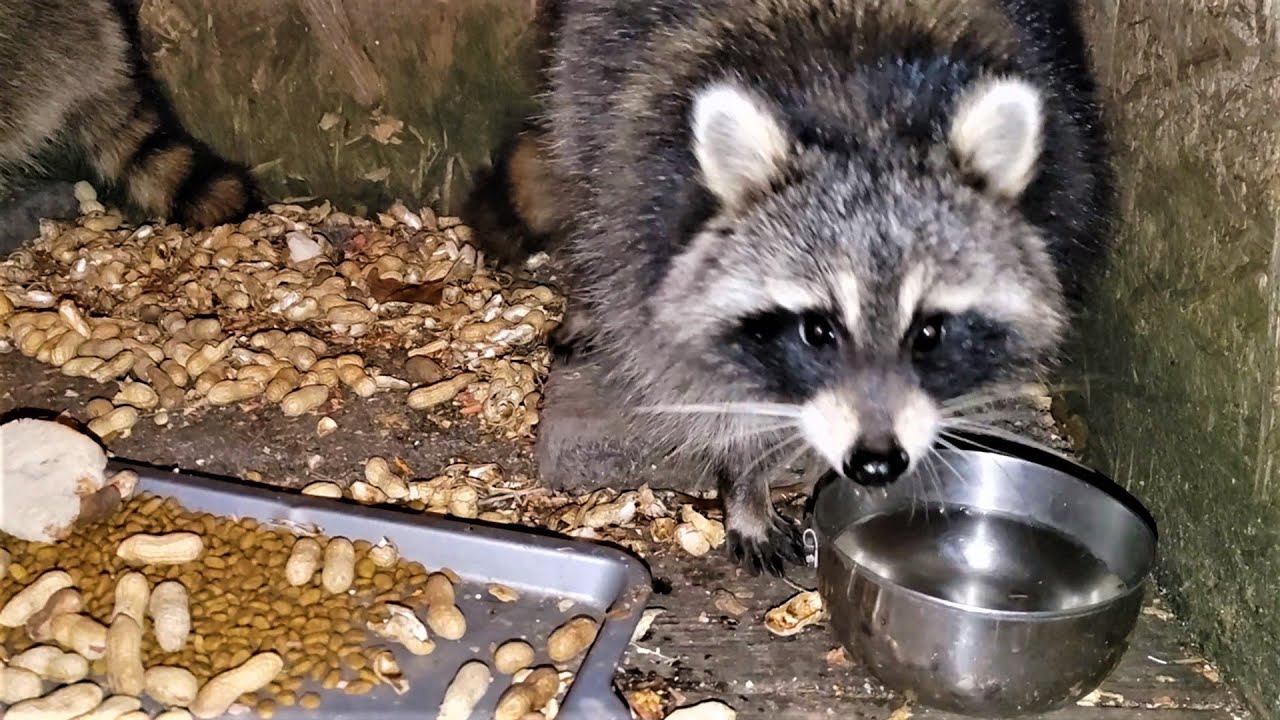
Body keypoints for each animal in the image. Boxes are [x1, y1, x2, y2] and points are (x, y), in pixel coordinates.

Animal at [481, 0, 1114, 575]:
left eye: (929, 332)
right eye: (817, 330)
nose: (876, 464)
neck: (871, 123)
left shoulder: (1065, 187)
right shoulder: (643, 206)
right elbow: (693, 370)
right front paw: (745, 479)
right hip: (586, 70)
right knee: (580, 176)